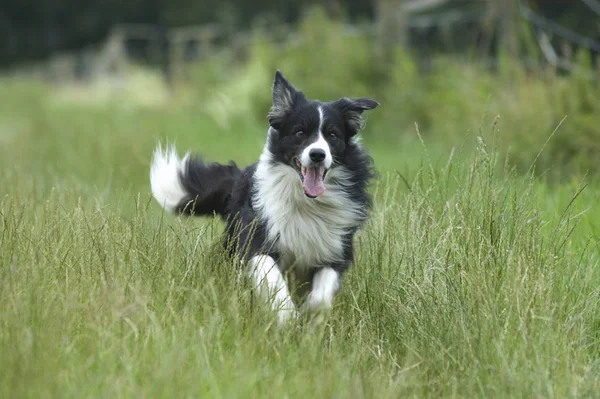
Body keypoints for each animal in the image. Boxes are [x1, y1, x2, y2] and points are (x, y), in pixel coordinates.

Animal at [150, 70, 380, 324]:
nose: (318, 154)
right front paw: (287, 316)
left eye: (333, 135)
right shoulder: (257, 239)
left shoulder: (335, 249)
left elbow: (321, 296)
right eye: (300, 132)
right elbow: (272, 279)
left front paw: (309, 316)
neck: (306, 202)